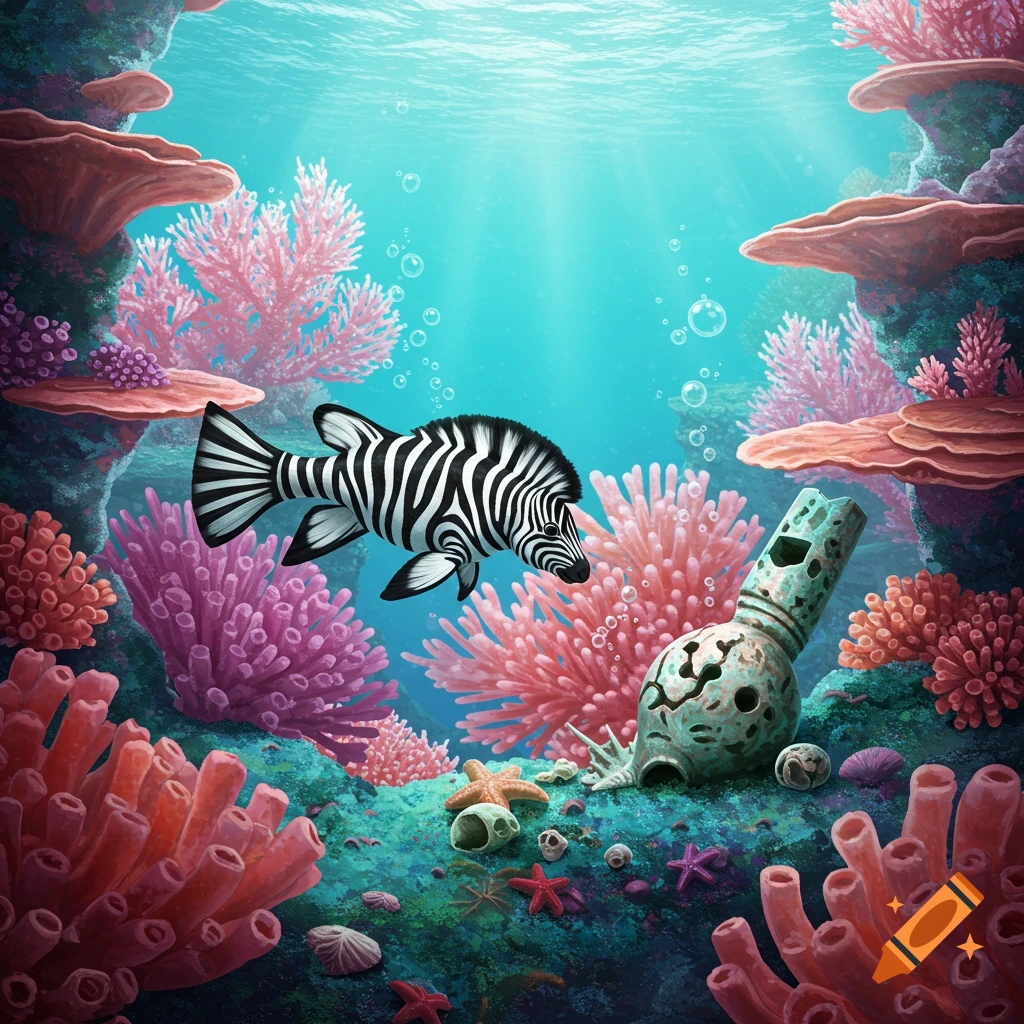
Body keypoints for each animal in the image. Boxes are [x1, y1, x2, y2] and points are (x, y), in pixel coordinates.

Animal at [191, 401, 592, 601]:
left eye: (576, 529)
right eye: (551, 530)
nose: (585, 573)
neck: (496, 510)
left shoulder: (470, 554)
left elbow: (468, 575)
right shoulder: (453, 542)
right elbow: (429, 573)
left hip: (345, 517)